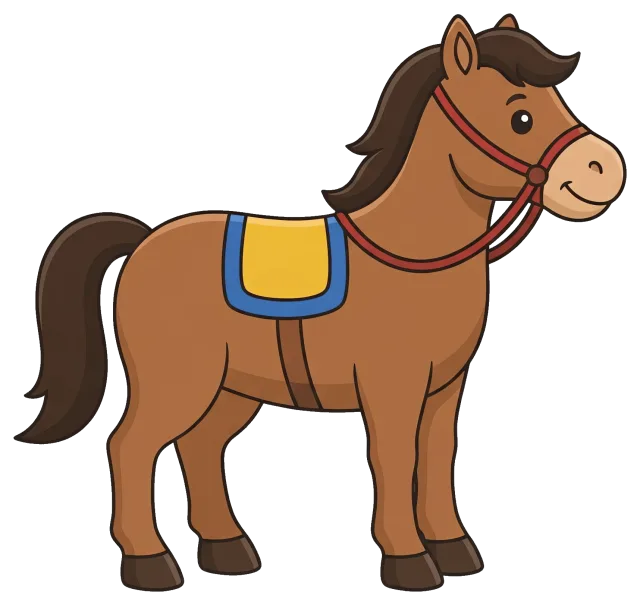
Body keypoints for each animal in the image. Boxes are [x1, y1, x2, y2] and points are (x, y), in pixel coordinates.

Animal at [18, 14, 625, 591]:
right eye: (520, 116)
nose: (605, 170)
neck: (412, 251)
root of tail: (143, 241)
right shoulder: (392, 386)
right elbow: (394, 457)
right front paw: (409, 562)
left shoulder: (444, 389)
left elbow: (435, 457)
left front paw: (454, 550)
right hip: (178, 384)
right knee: (130, 447)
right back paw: (150, 564)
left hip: (231, 389)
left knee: (200, 446)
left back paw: (227, 550)